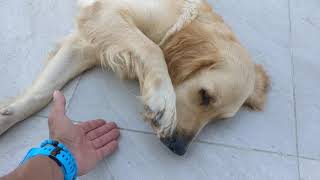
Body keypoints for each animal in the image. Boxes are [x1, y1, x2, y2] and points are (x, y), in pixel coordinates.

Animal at [0, 0, 268, 155]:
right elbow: (152, 48)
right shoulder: (103, 13)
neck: (175, 22)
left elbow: (41, 93)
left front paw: (6, 116)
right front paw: (162, 101)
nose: (179, 148)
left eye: (219, 120)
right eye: (205, 95)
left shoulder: (86, 45)